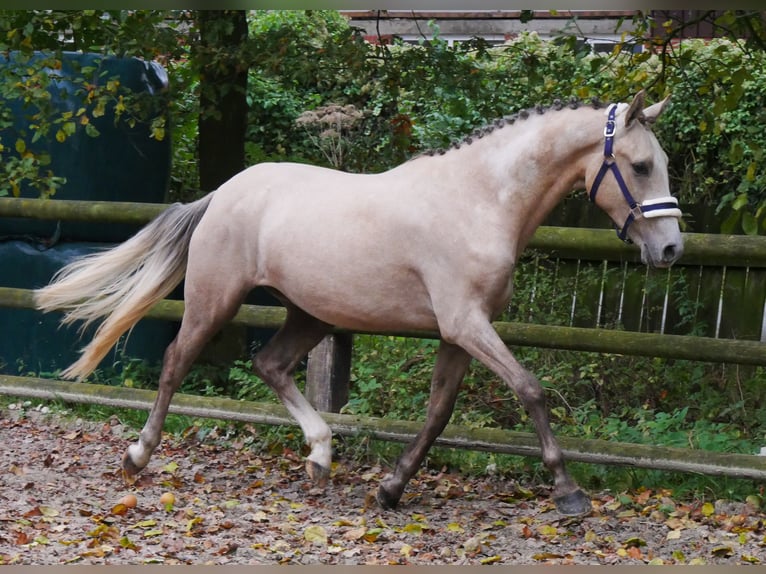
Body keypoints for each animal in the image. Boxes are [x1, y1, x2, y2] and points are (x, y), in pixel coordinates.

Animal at [36, 91, 684, 516]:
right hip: (214, 300)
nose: (672, 249)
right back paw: (138, 456)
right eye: (640, 166)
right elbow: (530, 389)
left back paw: (320, 457)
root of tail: (223, 192)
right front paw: (570, 492)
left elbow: (438, 412)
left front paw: (390, 490)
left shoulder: (459, 333)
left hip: (309, 314)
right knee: (175, 363)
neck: (479, 200)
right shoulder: (466, 324)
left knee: (269, 365)